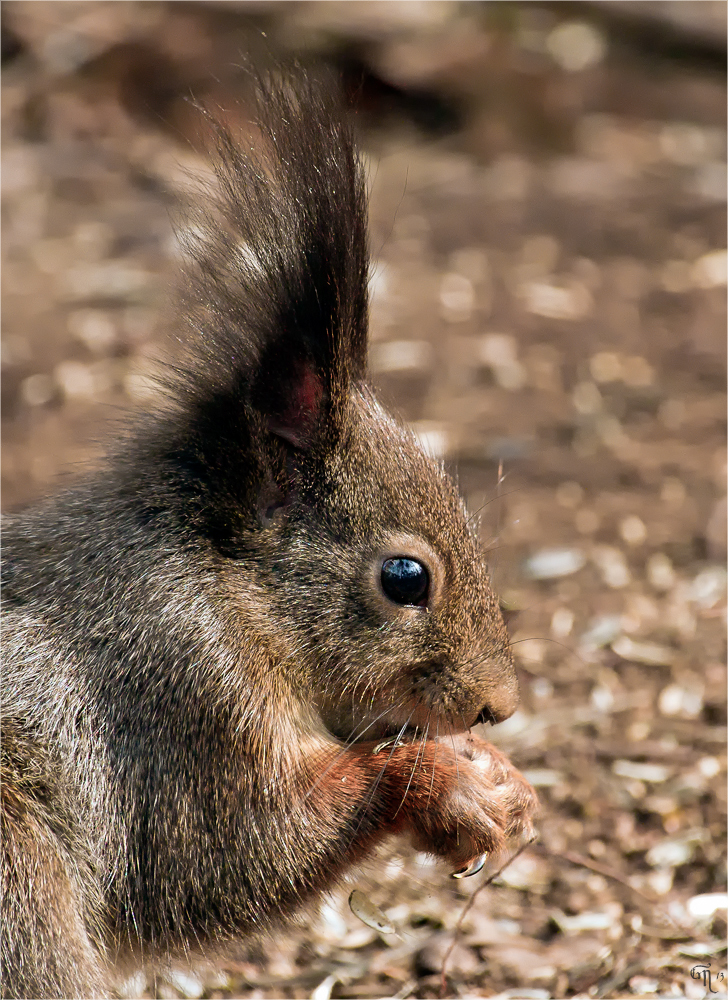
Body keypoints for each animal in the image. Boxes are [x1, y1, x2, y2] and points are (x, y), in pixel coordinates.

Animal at [0, 66, 536, 996]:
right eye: (406, 578)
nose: (494, 707)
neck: (227, 579)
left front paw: (499, 779)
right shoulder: (178, 698)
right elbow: (235, 854)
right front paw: (445, 783)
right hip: (19, 880)